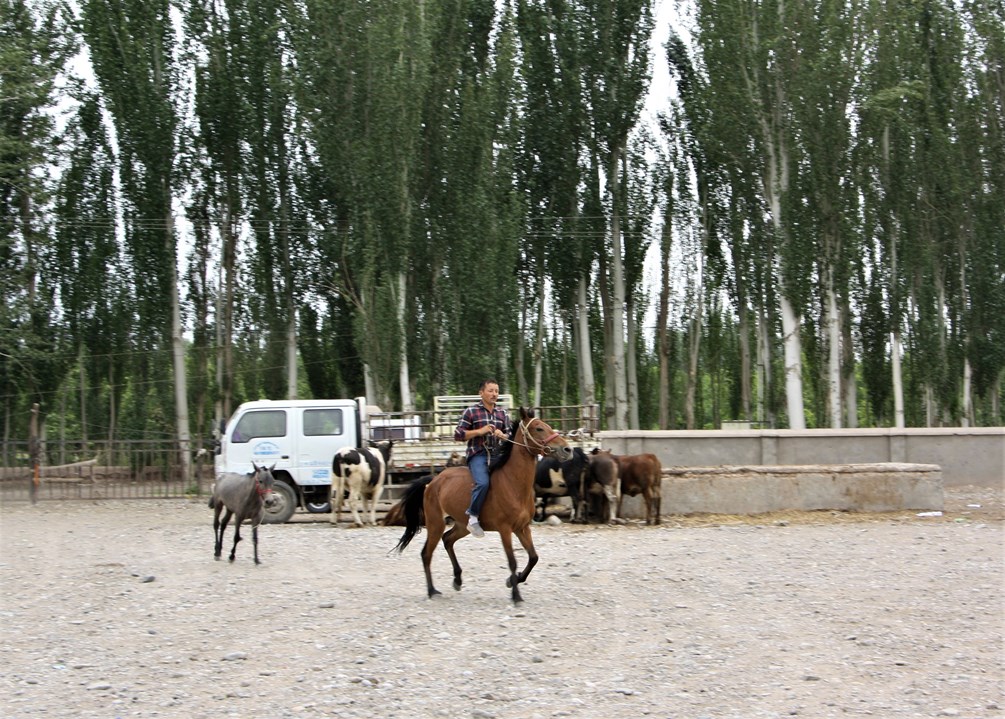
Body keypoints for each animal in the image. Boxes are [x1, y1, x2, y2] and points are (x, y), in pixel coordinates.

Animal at [389, 410, 570, 603]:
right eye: (538, 428)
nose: (567, 449)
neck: (512, 483)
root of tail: (434, 481)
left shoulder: (522, 527)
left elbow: (533, 557)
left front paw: (513, 580)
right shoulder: (505, 529)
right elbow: (512, 561)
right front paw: (516, 595)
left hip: (462, 525)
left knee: (447, 540)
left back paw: (457, 580)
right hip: (435, 523)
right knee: (426, 553)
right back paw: (432, 590)